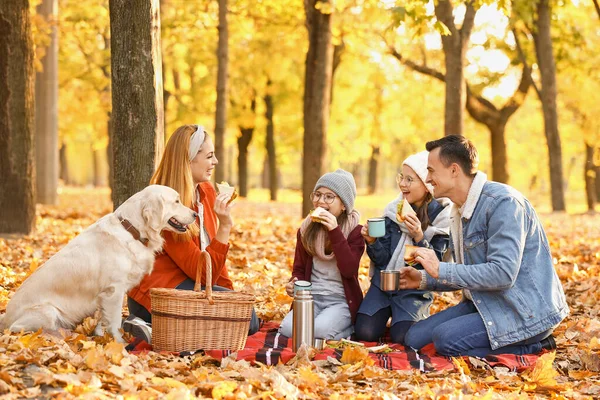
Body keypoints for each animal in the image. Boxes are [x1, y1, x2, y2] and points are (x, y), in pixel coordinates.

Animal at [0, 186, 197, 342]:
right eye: (177, 201)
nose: (195, 214)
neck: (131, 230)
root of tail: (5, 317)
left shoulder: (106, 294)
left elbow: (104, 319)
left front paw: (102, 336)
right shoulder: (114, 290)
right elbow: (115, 321)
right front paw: (120, 343)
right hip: (48, 311)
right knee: (19, 329)